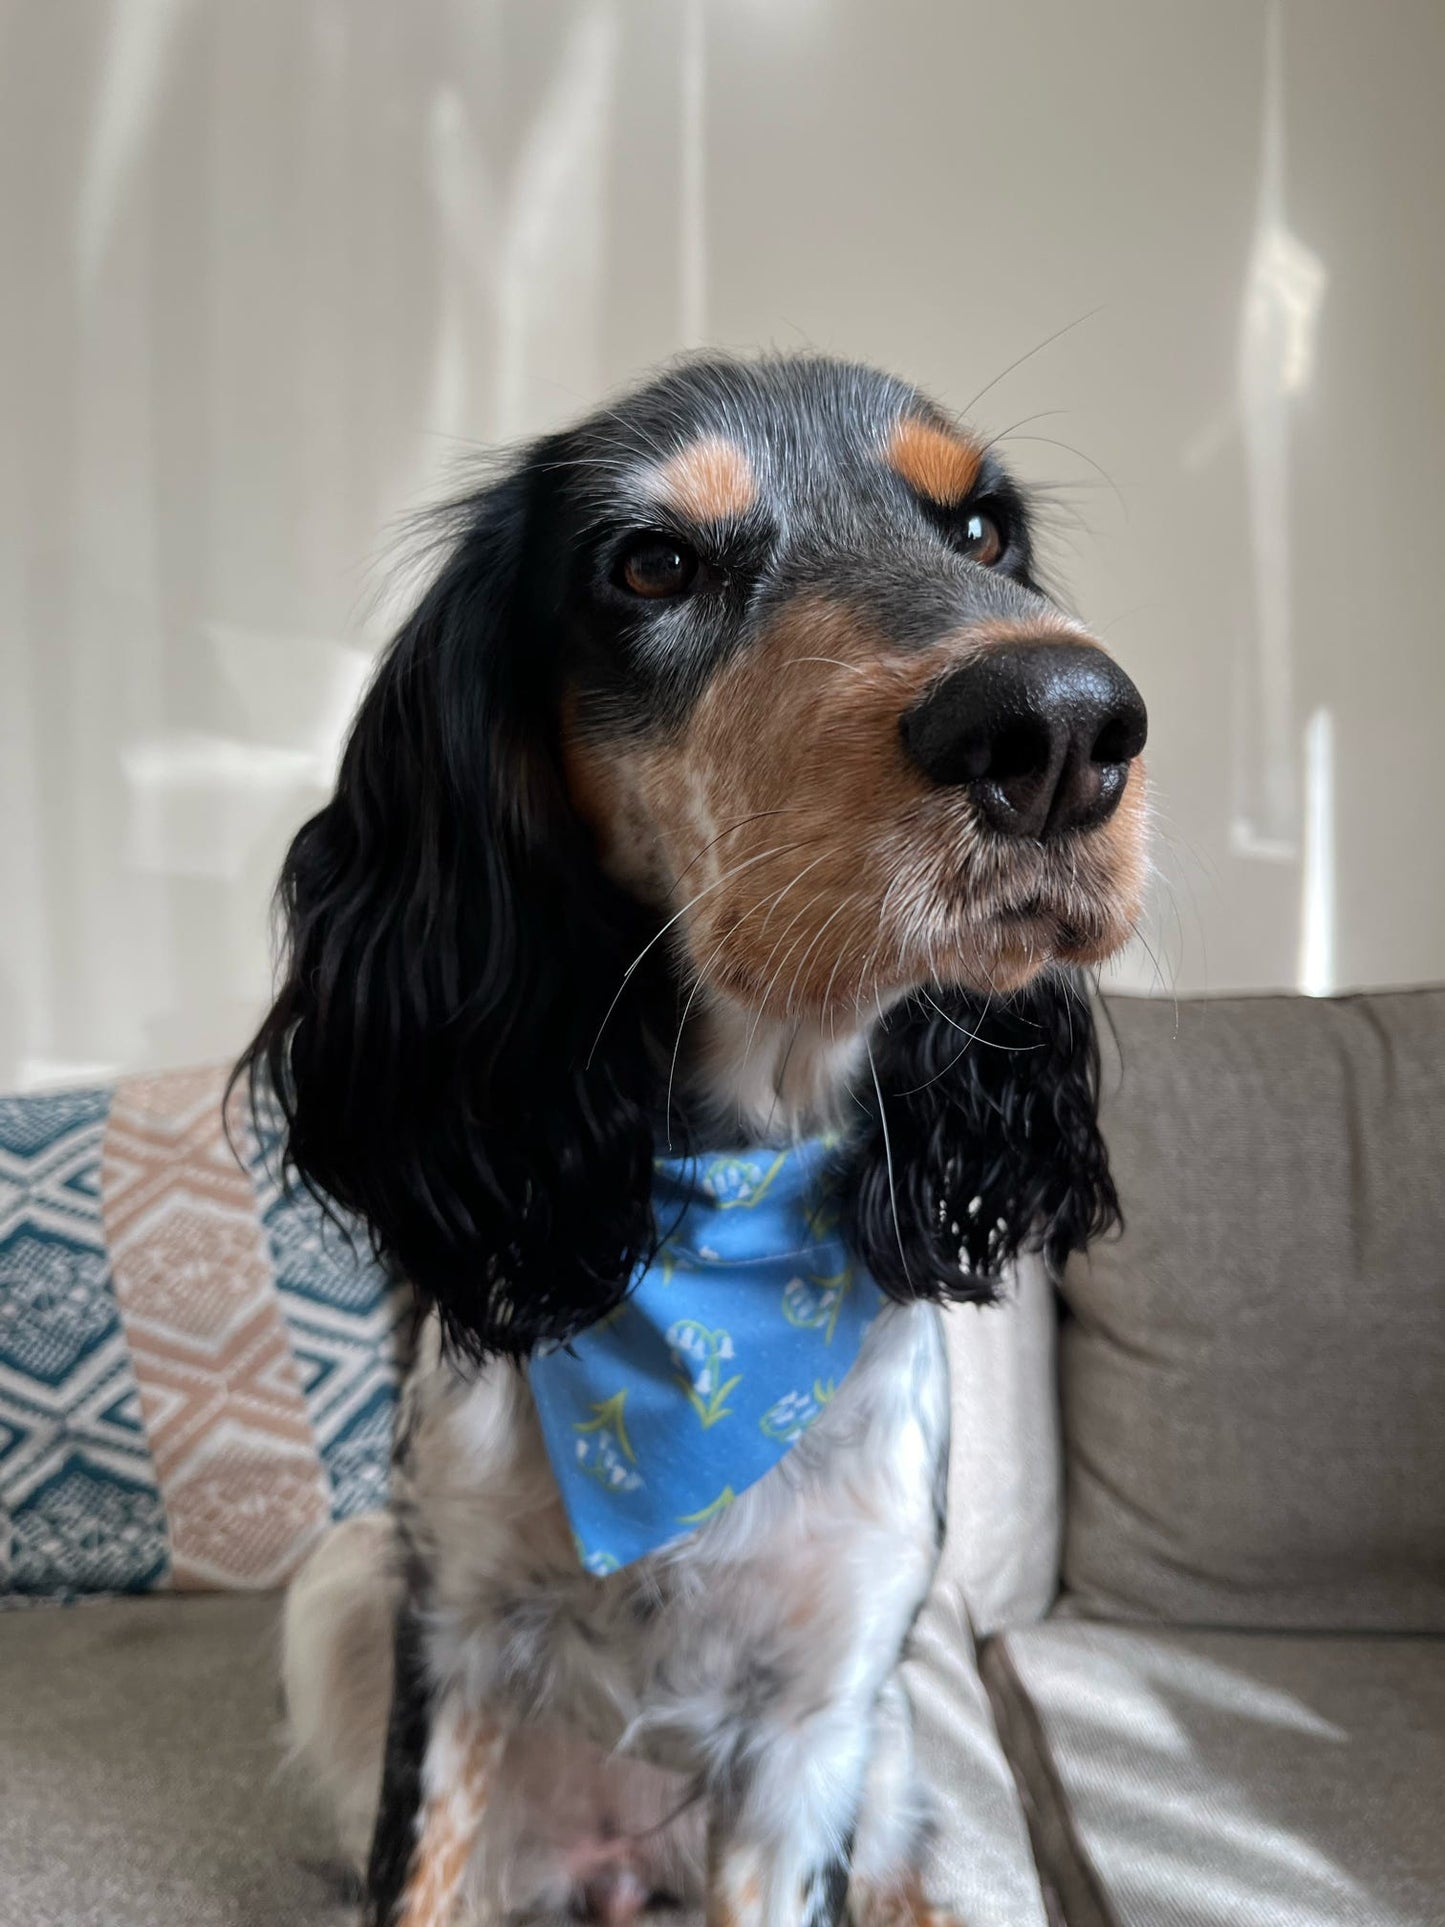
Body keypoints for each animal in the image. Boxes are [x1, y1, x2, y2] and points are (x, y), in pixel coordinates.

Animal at [246, 354, 1156, 1919]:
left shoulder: (822, 1711)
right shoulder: (450, 1638)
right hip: (347, 1582)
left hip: (892, 1741)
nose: (1058, 727)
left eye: (982, 533)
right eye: (652, 563)